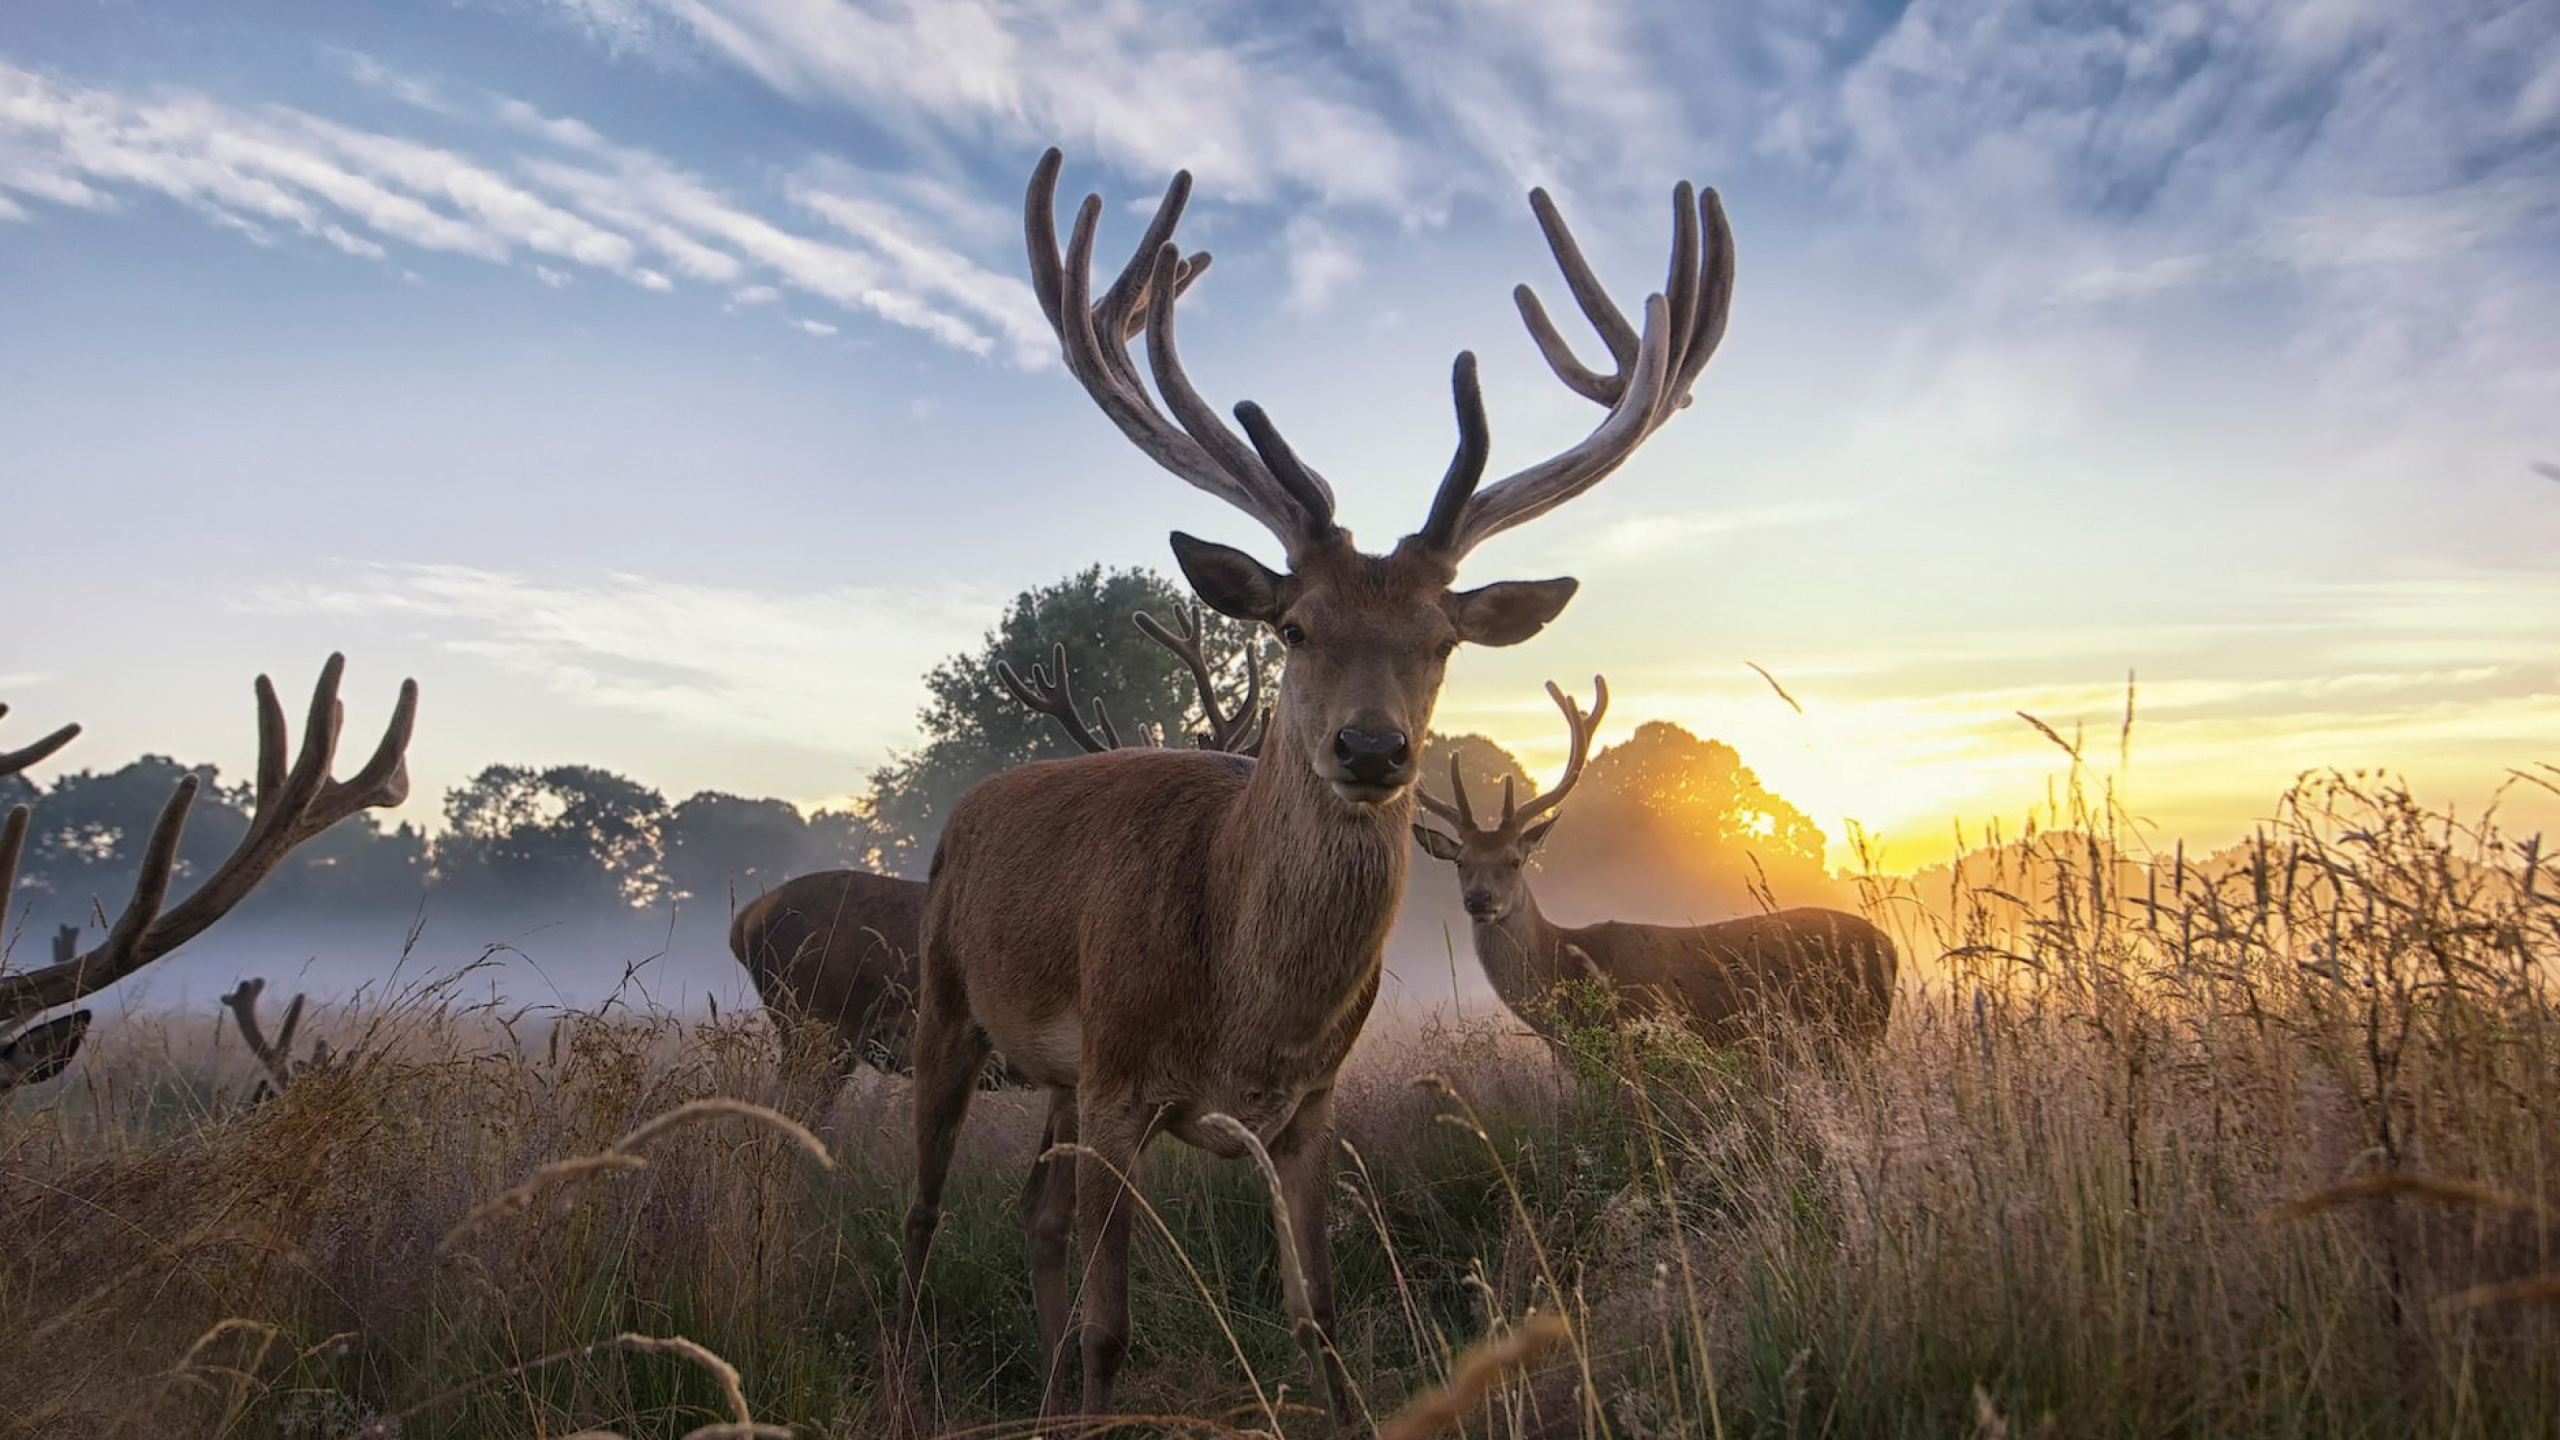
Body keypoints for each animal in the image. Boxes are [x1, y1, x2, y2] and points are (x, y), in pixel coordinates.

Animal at [900, 145, 1733, 1428]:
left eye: (1441, 640)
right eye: (1292, 626)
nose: (1373, 751)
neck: (1245, 1006)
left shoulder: (1308, 1106)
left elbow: (1321, 1318)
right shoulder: (1122, 1075)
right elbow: (1111, 1326)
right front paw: (1094, 1391)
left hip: (1053, 1075)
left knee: (1033, 1212)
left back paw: (1039, 1399)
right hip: (947, 1001)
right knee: (923, 1213)